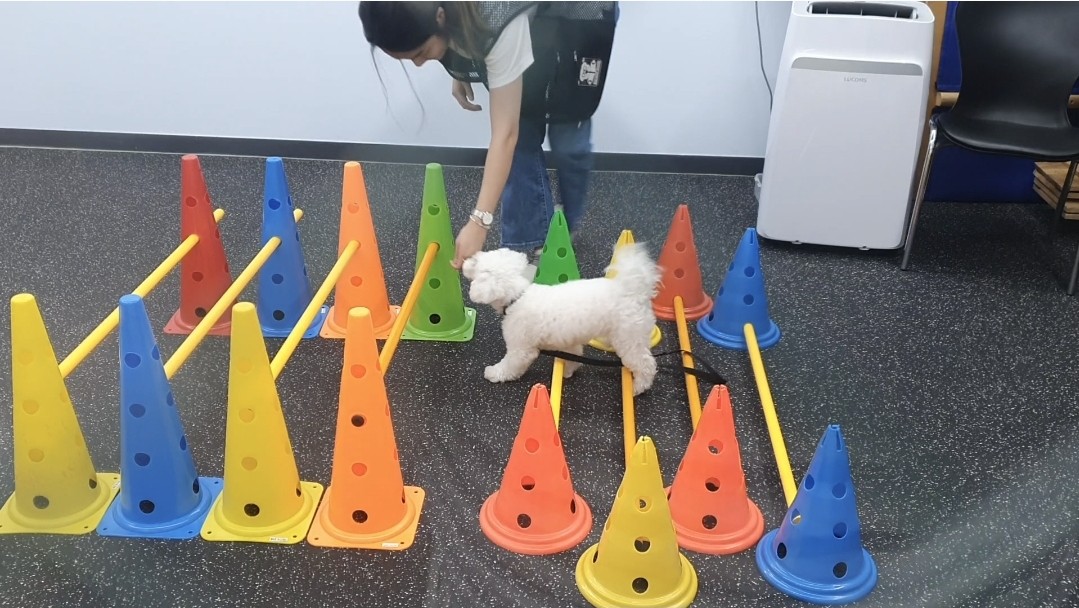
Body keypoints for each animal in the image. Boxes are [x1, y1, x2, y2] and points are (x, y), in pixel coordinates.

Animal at [461, 241, 662, 395]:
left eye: (476, 262)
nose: (464, 261)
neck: (517, 296)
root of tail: (635, 291)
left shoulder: (521, 349)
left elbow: (510, 365)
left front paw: (495, 373)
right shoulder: (569, 341)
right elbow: (574, 356)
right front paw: (568, 371)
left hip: (630, 338)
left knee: (646, 364)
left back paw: (638, 387)